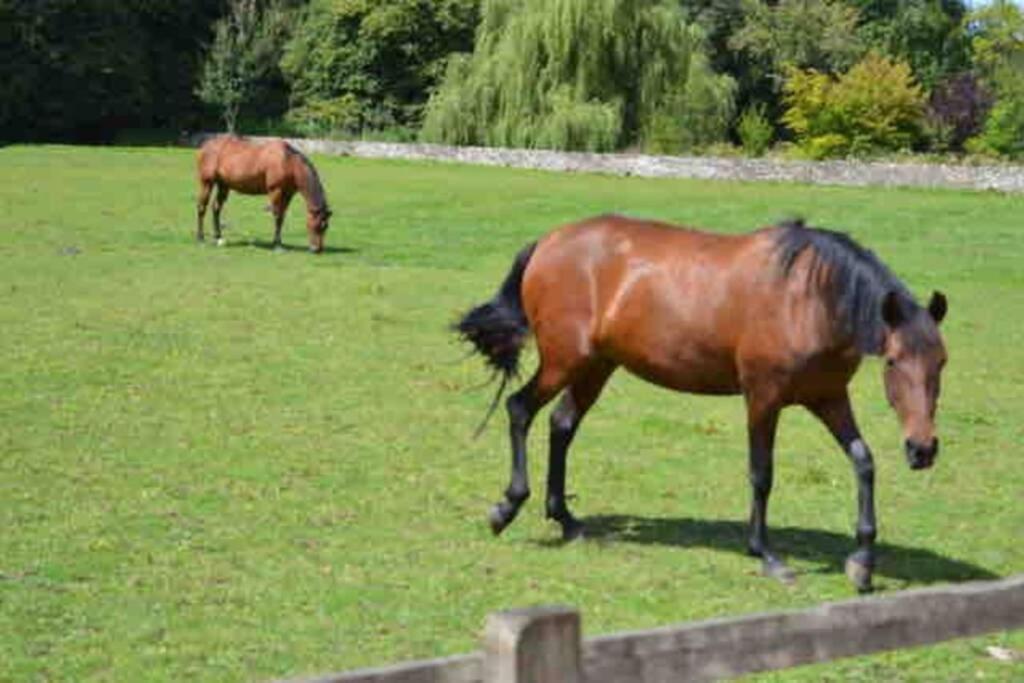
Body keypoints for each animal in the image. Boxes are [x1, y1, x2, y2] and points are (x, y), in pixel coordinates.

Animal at [195, 135, 331, 252]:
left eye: (326, 227)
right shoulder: (276, 191)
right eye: (317, 225)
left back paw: (218, 238)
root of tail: (206, 145)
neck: (288, 162)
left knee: (216, 208)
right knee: (202, 207)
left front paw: (278, 242)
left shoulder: (288, 194)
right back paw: (200, 238)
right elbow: (277, 216)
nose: (317, 249)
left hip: (224, 185)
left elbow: (282, 217)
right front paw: (277, 245)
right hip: (206, 183)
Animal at [460, 215, 946, 593]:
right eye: (894, 360)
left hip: (596, 366)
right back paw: (507, 508)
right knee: (520, 409)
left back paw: (566, 519)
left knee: (561, 425)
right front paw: (766, 555)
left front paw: (862, 563)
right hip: (564, 361)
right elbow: (762, 474)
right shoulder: (763, 398)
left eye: (942, 360)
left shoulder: (828, 398)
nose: (922, 449)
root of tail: (548, 242)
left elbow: (864, 462)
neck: (809, 299)